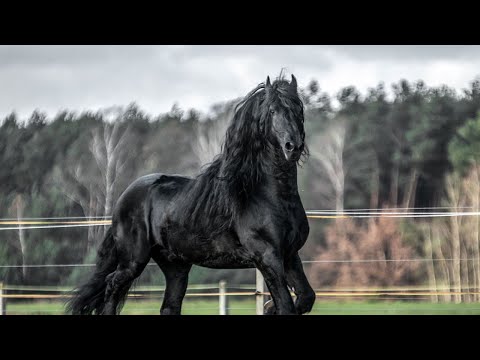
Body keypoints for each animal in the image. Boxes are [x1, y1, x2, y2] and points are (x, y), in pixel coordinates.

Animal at [66, 74, 316, 316]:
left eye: (299, 109)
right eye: (272, 111)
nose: (293, 146)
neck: (266, 196)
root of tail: (124, 198)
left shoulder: (290, 256)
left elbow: (305, 298)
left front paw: (268, 307)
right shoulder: (267, 257)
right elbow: (286, 306)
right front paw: (271, 306)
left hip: (175, 266)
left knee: (168, 306)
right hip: (133, 260)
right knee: (112, 286)